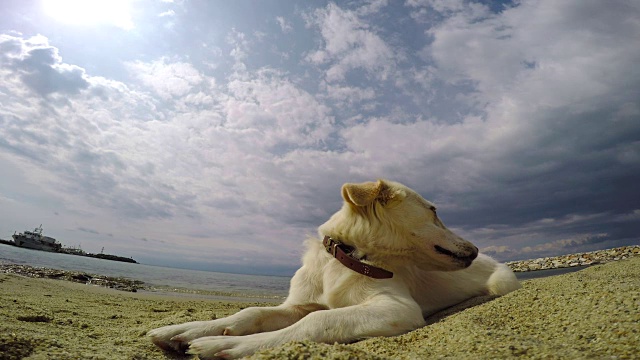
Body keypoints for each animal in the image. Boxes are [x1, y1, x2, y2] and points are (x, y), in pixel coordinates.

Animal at [149, 181, 520, 358]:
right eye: (433, 211)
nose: (474, 249)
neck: (348, 257)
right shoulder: (297, 303)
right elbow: (252, 311)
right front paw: (186, 330)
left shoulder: (397, 308)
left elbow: (316, 321)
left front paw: (226, 346)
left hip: (502, 283)